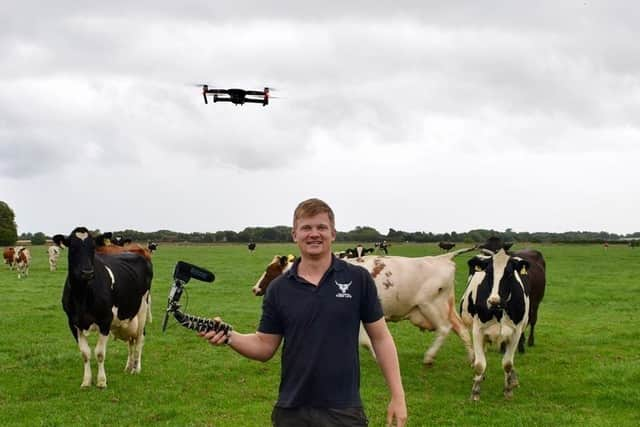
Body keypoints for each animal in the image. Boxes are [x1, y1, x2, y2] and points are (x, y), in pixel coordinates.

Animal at [61, 229, 154, 390]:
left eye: (92, 248)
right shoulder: (73, 323)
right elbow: (85, 353)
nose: (87, 272)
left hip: (142, 308)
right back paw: (128, 366)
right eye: (72, 248)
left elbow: (99, 353)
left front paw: (101, 381)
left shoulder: (105, 320)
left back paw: (136, 369)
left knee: (139, 340)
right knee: (131, 342)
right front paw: (86, 381)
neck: (82, 295)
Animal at [251, 249, 476, 366]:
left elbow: (365, 341)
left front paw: (379, 357)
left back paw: (429, 357)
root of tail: (442, 258)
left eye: (270, 271)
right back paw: (472, 359)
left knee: (445, 329)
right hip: (446, 307)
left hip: (430, 305)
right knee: (462, 330)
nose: (255, 288)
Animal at [460, 249, 528, 402]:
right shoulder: (478, 331)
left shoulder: (515, 333)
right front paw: (475, 392)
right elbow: (480, 364)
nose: (494, 301)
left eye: (509, 273)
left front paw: (508, 391)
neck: (498, 311)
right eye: (488, 273)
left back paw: (513, 380)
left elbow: (508, 364)